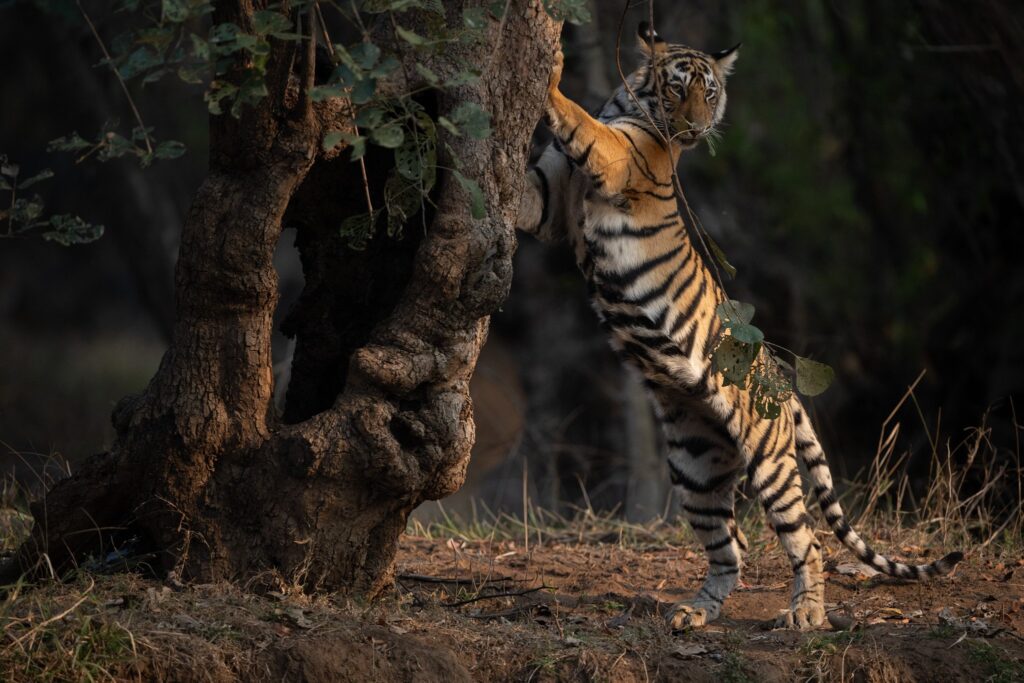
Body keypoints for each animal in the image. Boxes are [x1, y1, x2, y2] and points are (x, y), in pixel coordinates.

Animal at [514, 23, 963, 629]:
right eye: (680, 87)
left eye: (710, 92)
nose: (698, 128)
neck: (628, 104)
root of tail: (783, 380)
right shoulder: (550, 203)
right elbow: (521, 190)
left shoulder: (614, 157)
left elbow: (575, 116)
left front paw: (553, 57)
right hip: (695, 468)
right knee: (731, 550)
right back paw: (694, 613)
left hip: (770, 465)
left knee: (806, 542)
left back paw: (805, 616)